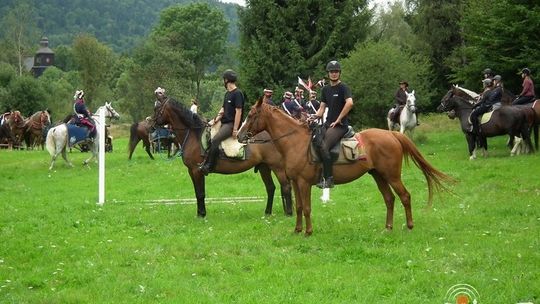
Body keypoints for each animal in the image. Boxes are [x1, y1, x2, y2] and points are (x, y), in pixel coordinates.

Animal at [152, 98, 294, 217]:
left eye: (158, 110)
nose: (151, 124)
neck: (193, 135)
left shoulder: (197, 171)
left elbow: (200, 193)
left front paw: (202, 214)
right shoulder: (191, 171)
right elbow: (198, 193)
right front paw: (200, 213)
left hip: (277, 167)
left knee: (286, 187)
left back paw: (289, 213)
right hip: (264, 167)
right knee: (271, 188)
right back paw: (267, 213)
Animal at [236, 100, 452, 235]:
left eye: (251, 114)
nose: (239, 135)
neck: (295, 142)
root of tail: (392, 135)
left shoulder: (304, 183)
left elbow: (306, 208)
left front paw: (308, 231)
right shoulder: (296, 182)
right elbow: (298, 207)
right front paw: (297, 230)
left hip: (391, 175)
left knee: (405, 196)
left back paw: (409, 226)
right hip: (378, 175)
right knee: (389, 199)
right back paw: (388, 227)